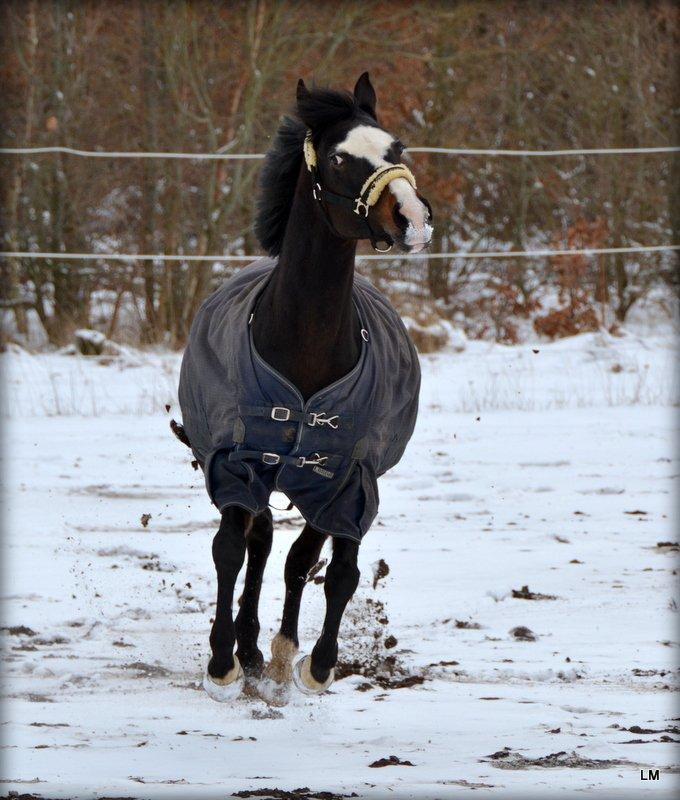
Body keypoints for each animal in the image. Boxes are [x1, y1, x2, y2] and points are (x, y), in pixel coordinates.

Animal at [175, 72, 430, 704]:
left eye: (398, 148)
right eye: (338, 159)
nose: (413, 218)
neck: (304, 342)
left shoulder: (349, 477)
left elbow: (335, 570)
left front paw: (315, 664)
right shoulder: (236, 461)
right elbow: (230, 552)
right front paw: (222, 662)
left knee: (292, 558)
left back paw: (277, 651)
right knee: (259, 546)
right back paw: (245, 649)